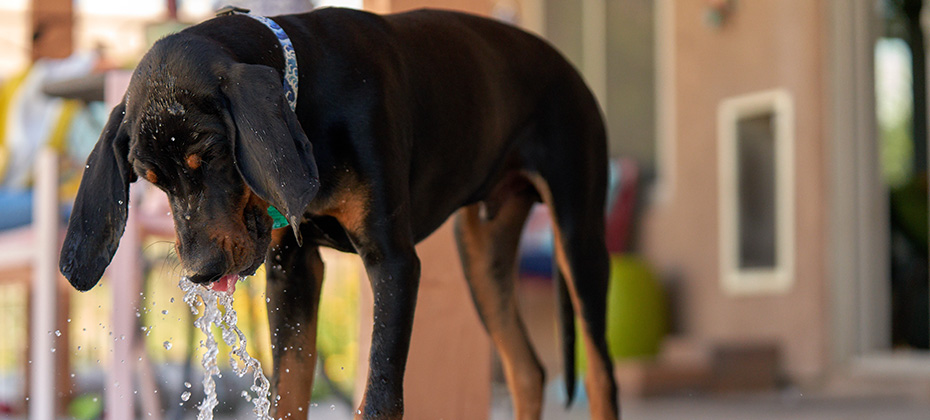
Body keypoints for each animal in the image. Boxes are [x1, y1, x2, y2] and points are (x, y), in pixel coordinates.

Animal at [61, 7, 620, 420]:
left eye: (214, 154)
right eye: (151, 181)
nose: (200, 272)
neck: (306, 93)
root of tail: (567, 66)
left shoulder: (392, 260)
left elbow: (379, 398)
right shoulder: (291, 270)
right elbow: (288, 393)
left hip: (578, 234)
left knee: (601, 373)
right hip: (483, 258)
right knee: (527, 371)